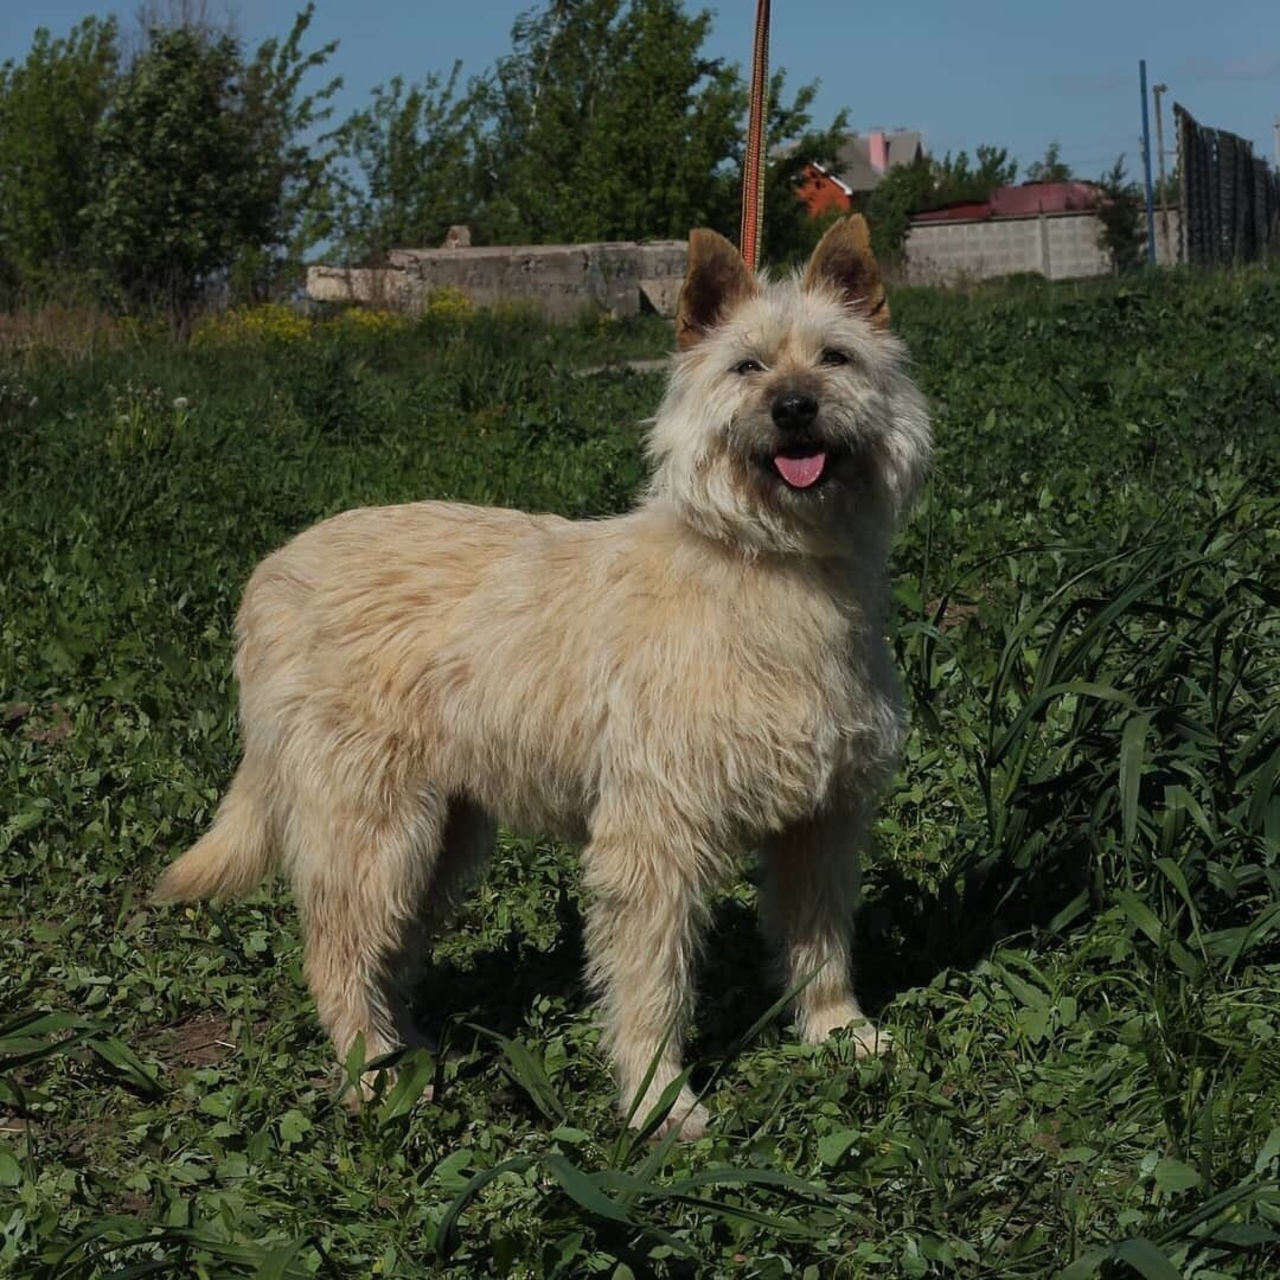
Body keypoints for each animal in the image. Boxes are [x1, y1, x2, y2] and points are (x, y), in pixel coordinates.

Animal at [154, 220, 931, 1141]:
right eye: (747, 366)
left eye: (836, 357)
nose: (794, 408)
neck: (771, 565)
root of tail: (269, 577)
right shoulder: (653, 843)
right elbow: (651, 988)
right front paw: (659, 1103)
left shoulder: (822, 823)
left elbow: (821, 942)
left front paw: (840, 1034)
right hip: (371, 831)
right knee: (337, 954)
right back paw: (372, 1078)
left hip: (440, 838)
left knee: (389, 954)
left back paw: (410, 1051)